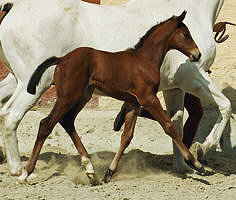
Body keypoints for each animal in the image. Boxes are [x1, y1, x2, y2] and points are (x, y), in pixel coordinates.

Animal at [0, 0, 230, 177]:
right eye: (185, 35)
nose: (196, 54)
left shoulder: (170, 89)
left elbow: (174, 123)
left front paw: (184, 165)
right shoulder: (189, 78)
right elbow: (221, 108)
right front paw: (200, 152)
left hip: (24, 81)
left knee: (15, 113)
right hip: (38, 86)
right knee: (15, 116)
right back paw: (20, 170)